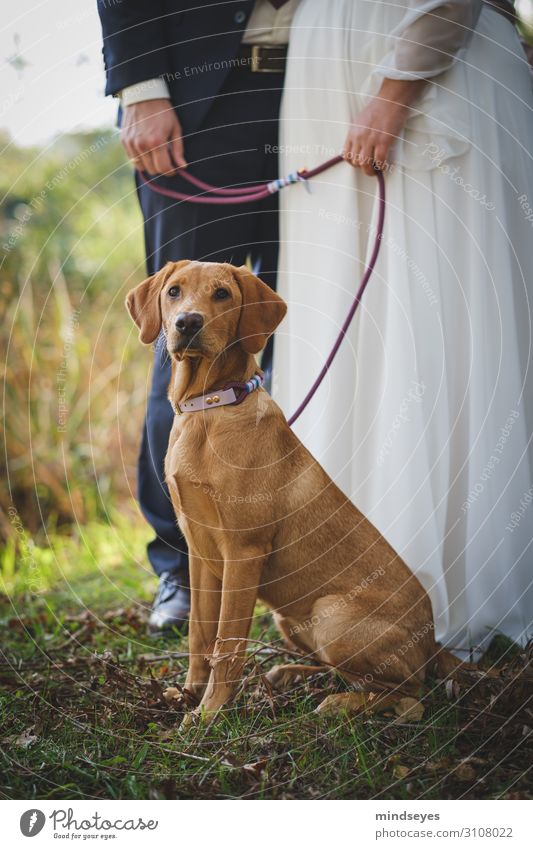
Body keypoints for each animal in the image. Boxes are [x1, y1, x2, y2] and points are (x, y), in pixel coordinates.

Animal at [127, 260, 438, 724]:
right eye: (174, 292)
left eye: (222, 294)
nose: (187, 322)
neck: (210, 409)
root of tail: (435, 644)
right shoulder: (200, 552)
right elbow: (200, 635)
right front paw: (188, 693)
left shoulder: (243, 553)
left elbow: (227, 643)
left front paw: (209, 713)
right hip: (287, 619)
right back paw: (291, 674)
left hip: (330, 615)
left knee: (409, 696)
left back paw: (340, 703)